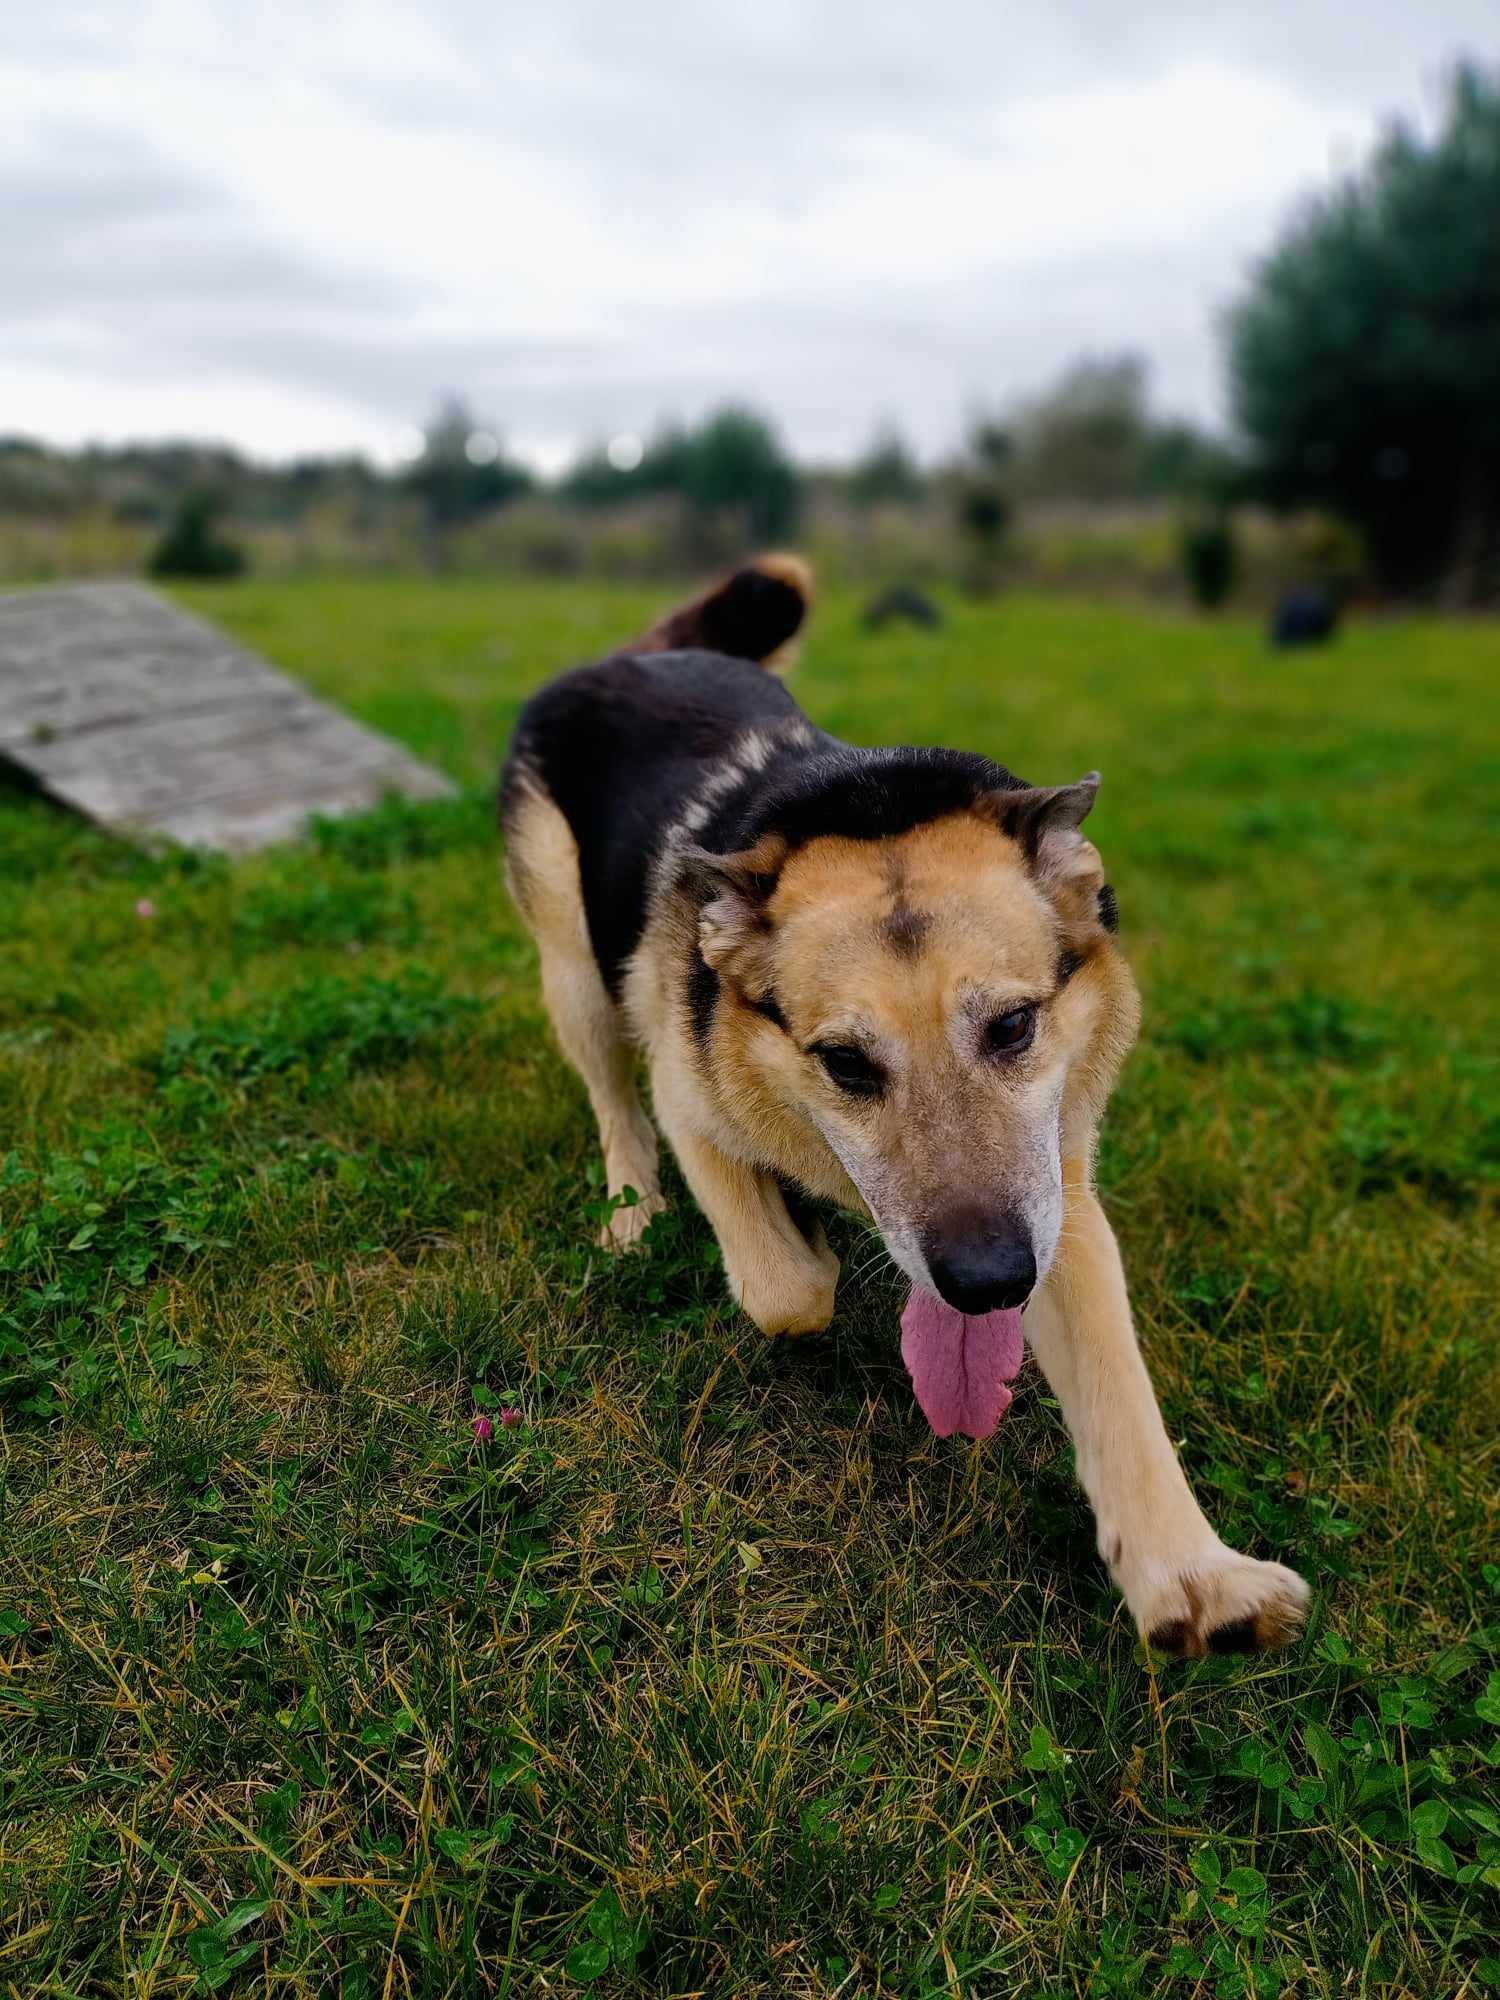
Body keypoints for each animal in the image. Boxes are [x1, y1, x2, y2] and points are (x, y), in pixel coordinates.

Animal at [500, 552, 1312, 1656]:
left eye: (1013, 1026)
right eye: (845, 1062)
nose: (986, 1281)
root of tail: (635, 656)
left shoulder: (1057, 1199)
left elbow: (1119, 1386)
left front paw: (1191, 1573)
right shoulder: (691, 1100)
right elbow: (784, 1287)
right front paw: (805, 1242)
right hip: (576, 972)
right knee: (612, 1101)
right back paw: (635, 1214)